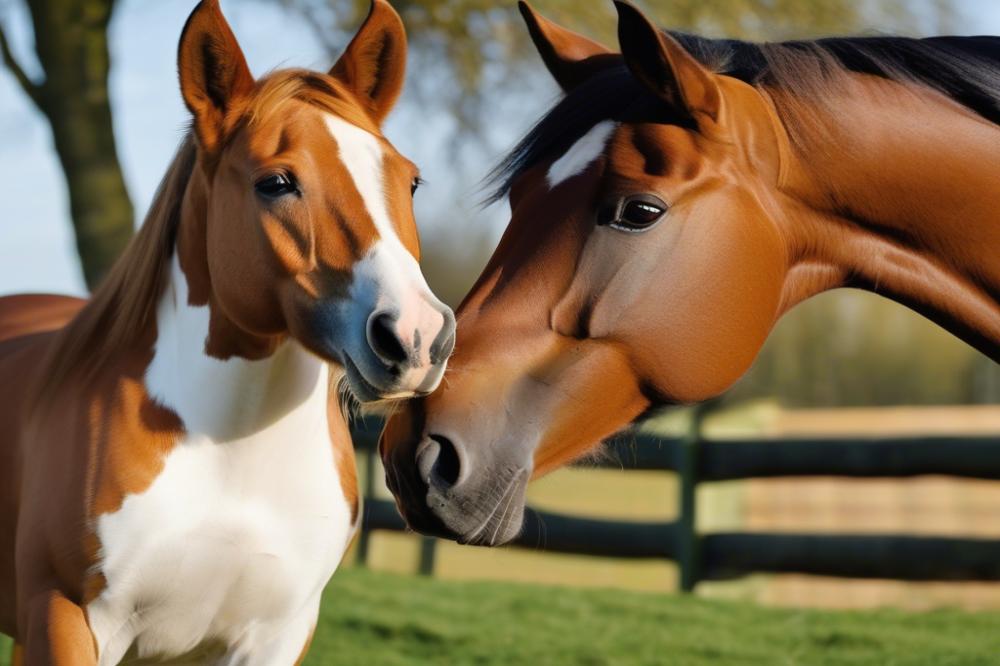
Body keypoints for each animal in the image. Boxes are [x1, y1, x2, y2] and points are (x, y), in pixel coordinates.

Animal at [0, 0, 454, 660]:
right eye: (276, 183)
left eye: (410, 181)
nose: (418, 337)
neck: (231, 455)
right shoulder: (64, 619)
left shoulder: (276, 635)